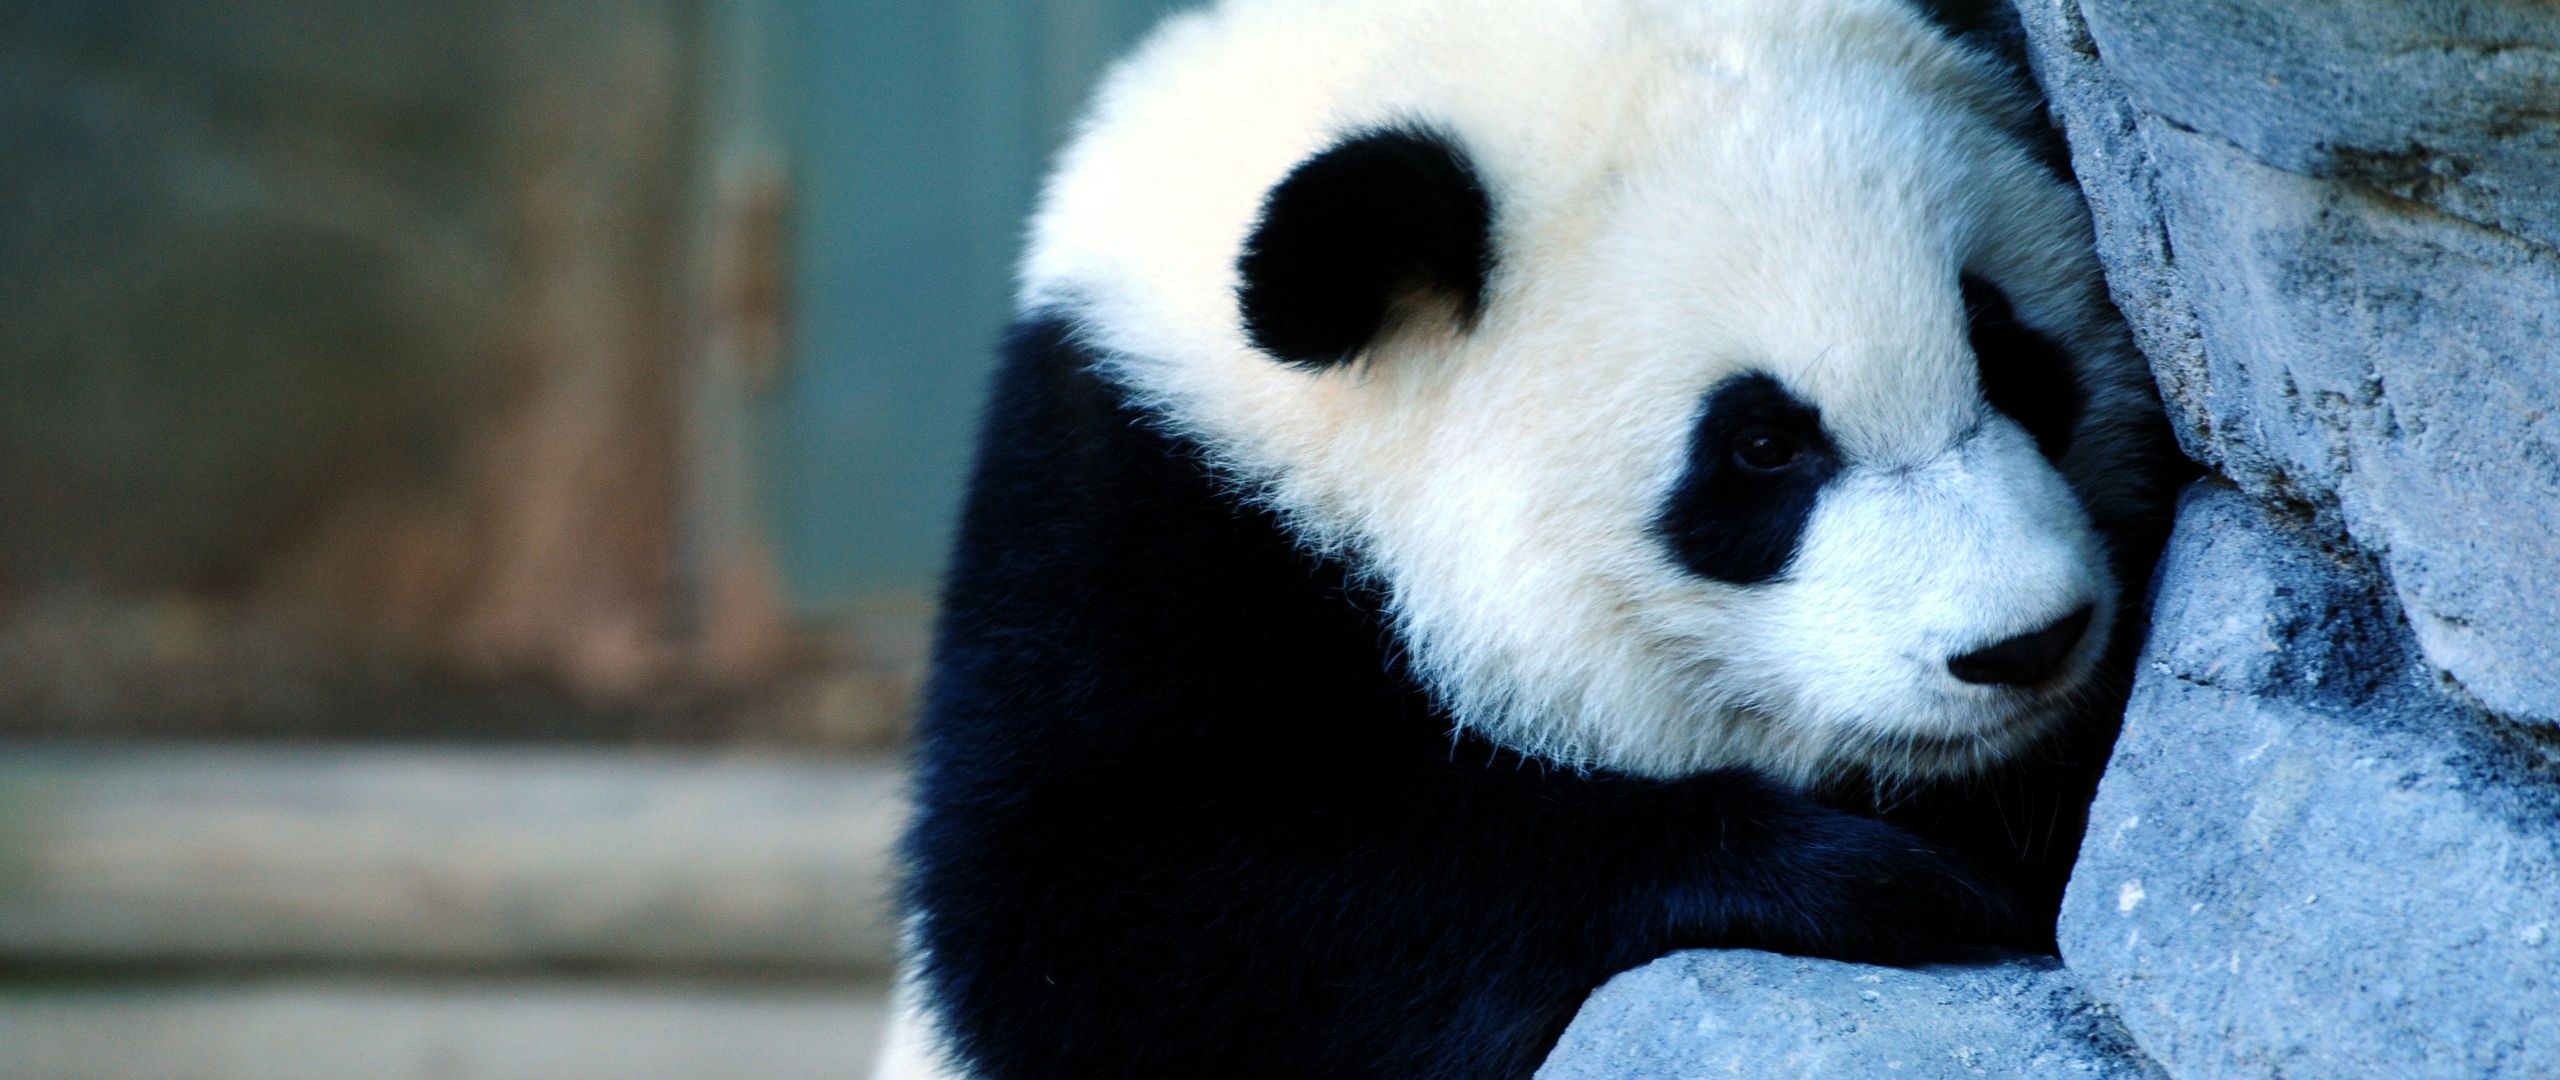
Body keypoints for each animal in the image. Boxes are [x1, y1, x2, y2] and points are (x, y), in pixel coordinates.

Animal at [899, 0, 2180, 1078]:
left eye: (2005, 350)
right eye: (1761, 448)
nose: (2025, 643)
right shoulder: (1133, 518)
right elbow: (1104, 918)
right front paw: (1876, 881)